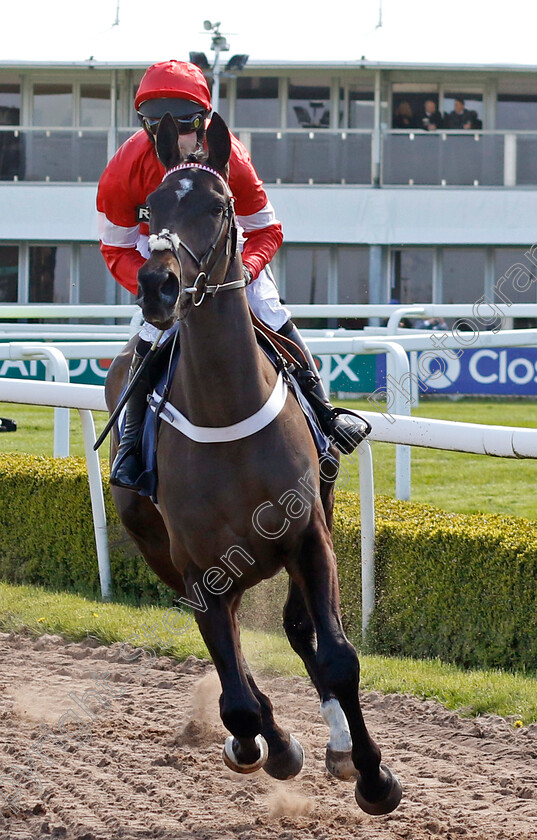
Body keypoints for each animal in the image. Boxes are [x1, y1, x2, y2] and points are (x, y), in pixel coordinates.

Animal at [105, 111, 398, 812]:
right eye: (150, 206)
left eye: (218, 204)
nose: (158, 286)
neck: (223, 411)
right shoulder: (194, 566)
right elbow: (235, 694)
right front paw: (264, 743)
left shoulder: (308, 534)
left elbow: (338, 655)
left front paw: (373, 775)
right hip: (167, 552)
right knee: (236, 653)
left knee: (300, 630)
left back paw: (339, 746)